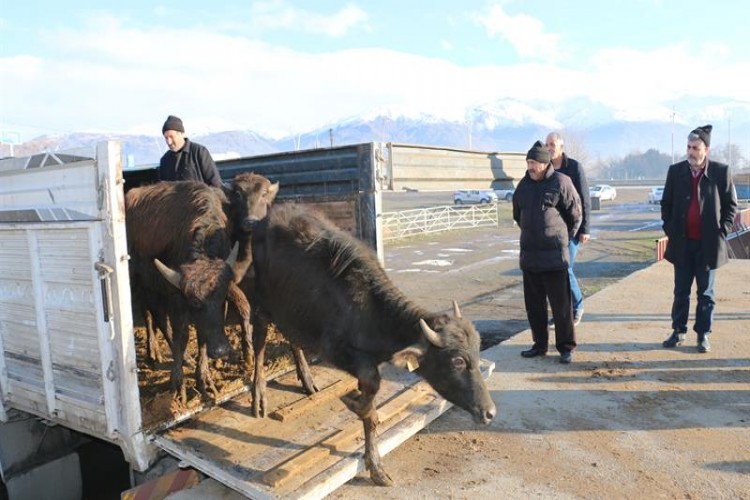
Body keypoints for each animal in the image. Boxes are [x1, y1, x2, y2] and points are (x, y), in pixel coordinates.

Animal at [253, 202, 500, 484]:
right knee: (258, 337)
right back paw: (258, 395)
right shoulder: (336, 351)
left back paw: (306, 379)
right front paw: (352, 401)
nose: (489, 412)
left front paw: (375, 466)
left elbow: (370, 411)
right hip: (260, 301)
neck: (370, 310)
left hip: (291, 310)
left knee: (291, 337)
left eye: (478, 353)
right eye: (457, 361)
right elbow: (370, 396)